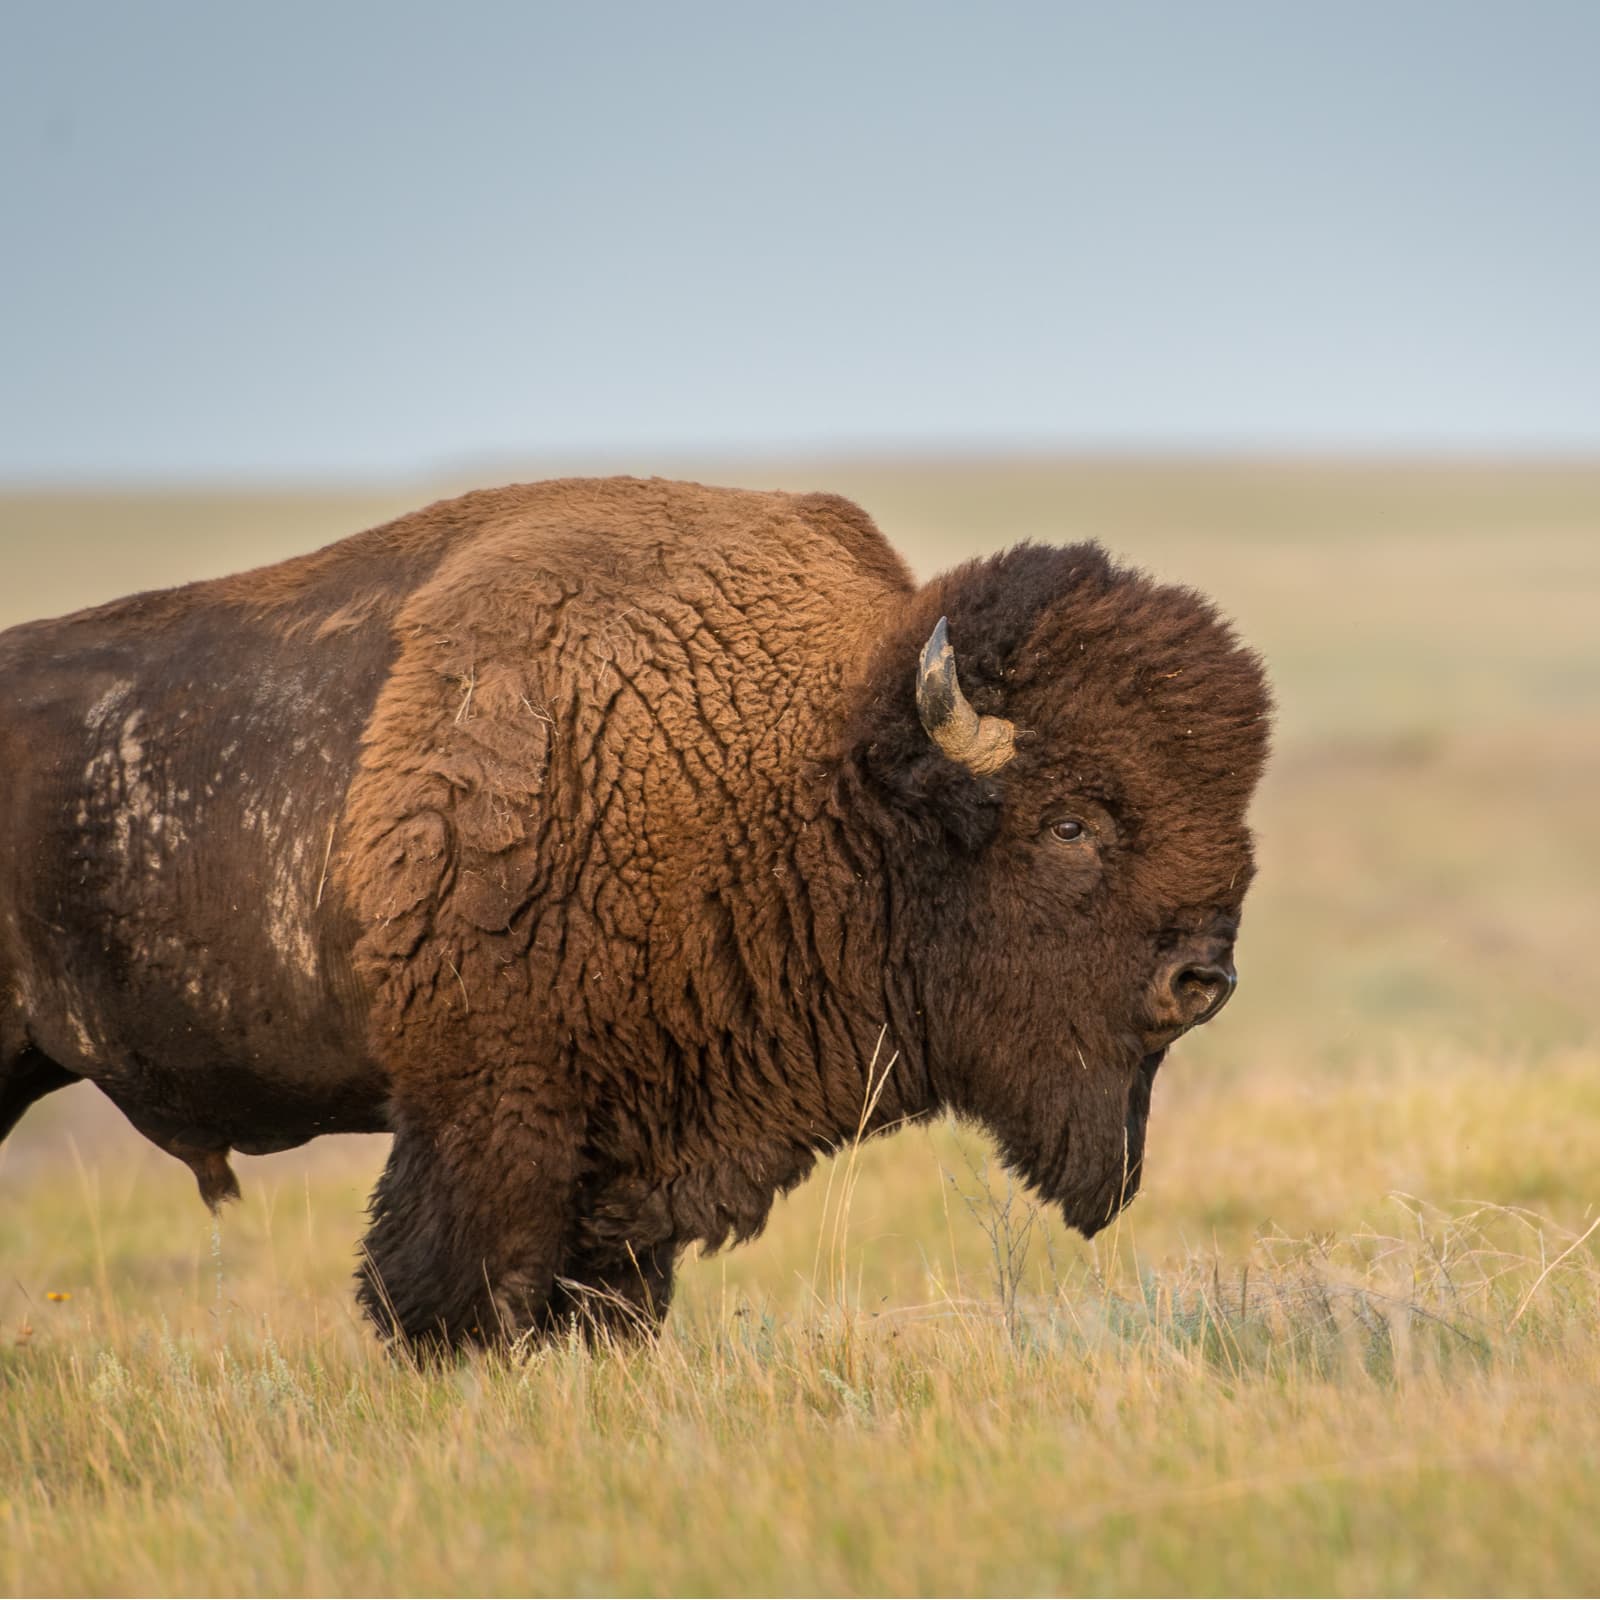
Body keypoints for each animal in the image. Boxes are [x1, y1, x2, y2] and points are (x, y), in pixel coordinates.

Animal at [0, 478, 1270, 1347]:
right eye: (1069, 824)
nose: (1201, 980)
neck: (800, 764)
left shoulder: (628, 1161)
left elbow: (605, 1301)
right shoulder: (488, 1118)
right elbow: (453, 1300)